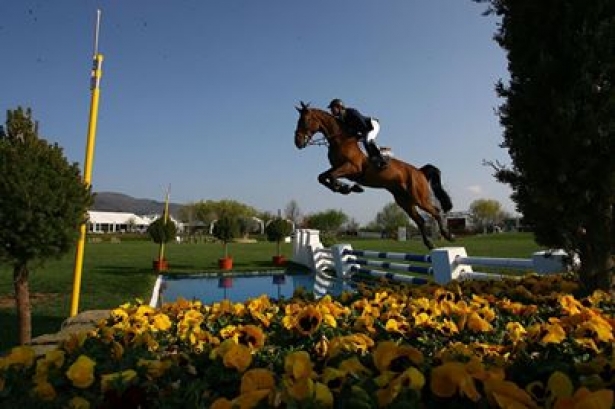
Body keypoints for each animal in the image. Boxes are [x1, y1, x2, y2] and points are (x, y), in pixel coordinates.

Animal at [294, 102, 458, 249]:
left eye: (305, 120)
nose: (298, 142)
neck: (340, 140)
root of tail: (419, 171)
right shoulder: (337, 167)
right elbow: (322, 177)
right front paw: (345, 188)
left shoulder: (352, 168)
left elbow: (331, 177)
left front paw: (347, 188)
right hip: (404, 200)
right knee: (420, 220)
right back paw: (429, 244)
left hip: (419, 197)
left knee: (435, 211)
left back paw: (448, 236)